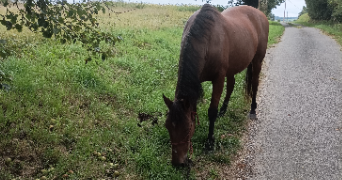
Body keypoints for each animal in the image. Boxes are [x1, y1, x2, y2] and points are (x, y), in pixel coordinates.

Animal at [163, 4, 270, 165]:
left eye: (187, 129)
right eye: (167, 126)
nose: (178, 163)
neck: (206, 40)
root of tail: (260, 14)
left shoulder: (218, 79)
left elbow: (211, 111)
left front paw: (209, 143)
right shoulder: (197, 81)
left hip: (257, 61)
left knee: (255, 84)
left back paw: (252, 110)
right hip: (232, 67)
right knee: (231, 86)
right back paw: (223, 111)